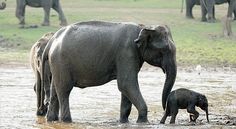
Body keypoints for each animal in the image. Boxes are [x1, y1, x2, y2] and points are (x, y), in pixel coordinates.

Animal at [40, 20, 177, 122]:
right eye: (165, 50)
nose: (165, 110)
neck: (143, 27)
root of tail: (52, 40)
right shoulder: (127, 52)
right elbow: (126, 83)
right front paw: (143, 122)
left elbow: (125, 88)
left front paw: (124, 122)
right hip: (61, 61)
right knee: (64, 90)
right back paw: (67, 121)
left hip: (57, 64)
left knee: (55, 91)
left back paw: (51, 120)